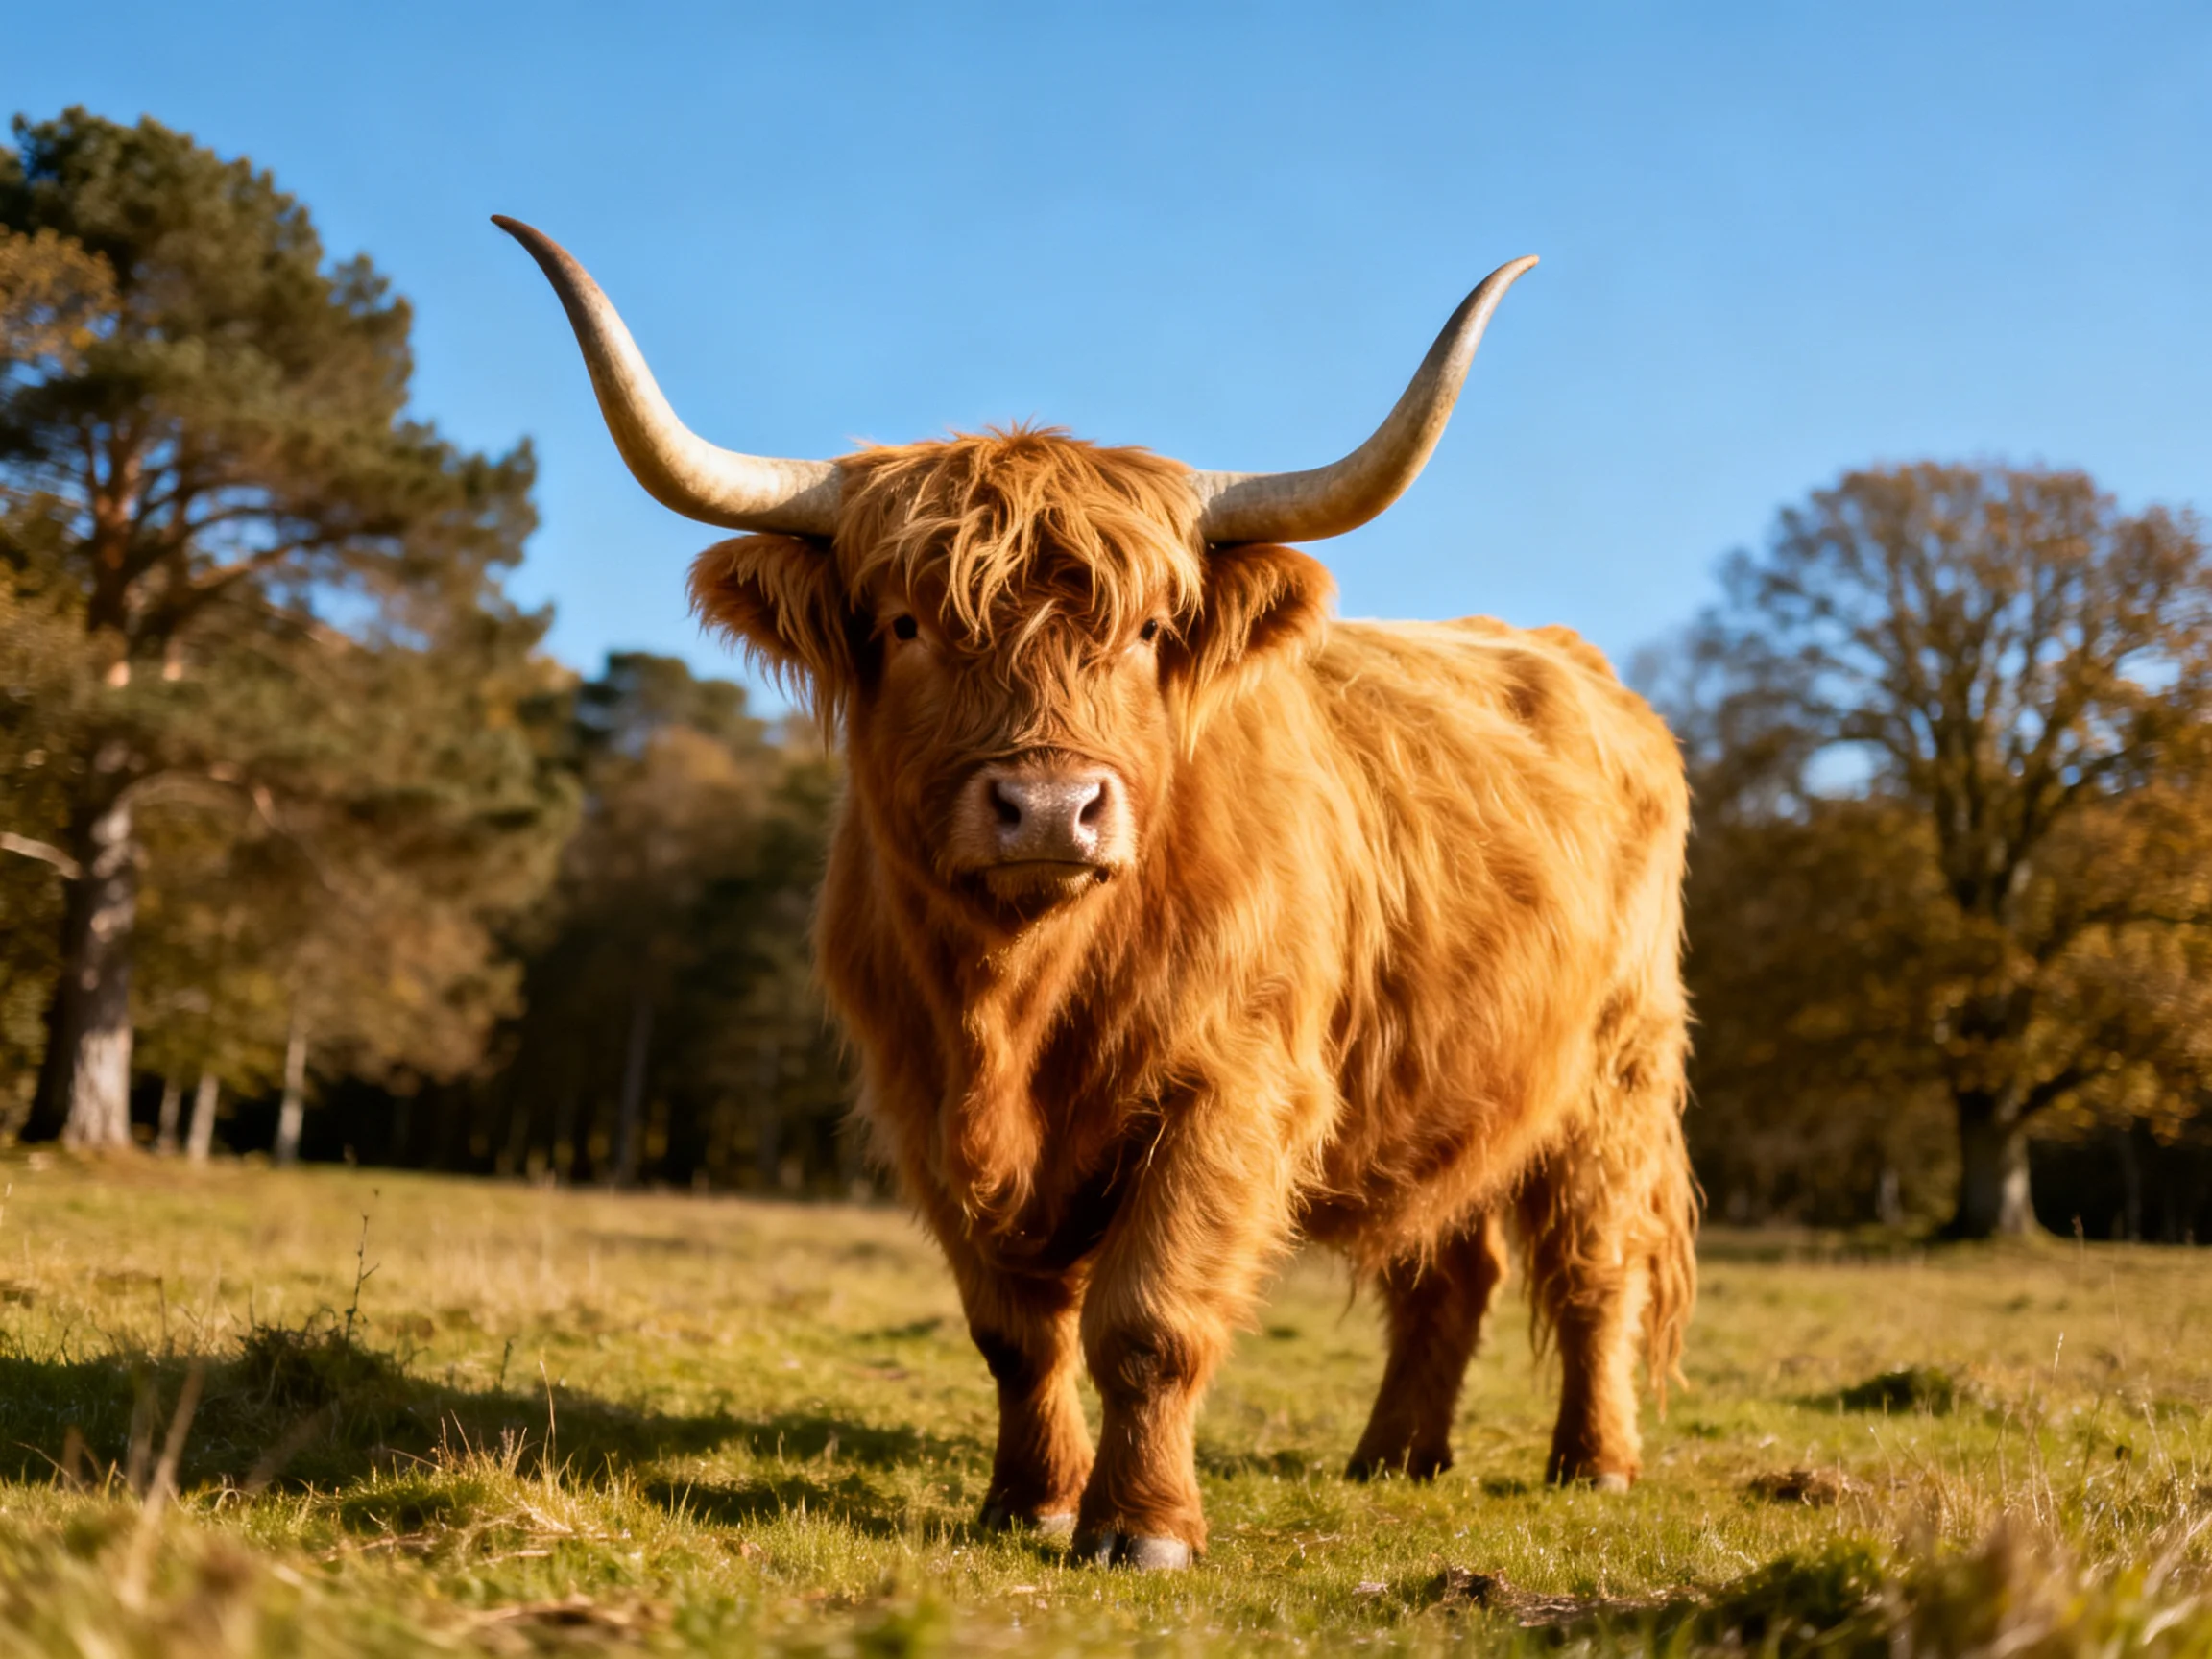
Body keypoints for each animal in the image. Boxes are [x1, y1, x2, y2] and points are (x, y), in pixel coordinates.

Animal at [498, 217, 1697, 1571]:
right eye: (906, 625)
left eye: (1144, 632)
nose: (1050, 806)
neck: (1019, 998)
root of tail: (1571, 659)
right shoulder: (920, 1102)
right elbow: (1014, 1334)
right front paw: (1030, 1500)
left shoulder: (1231, 1087)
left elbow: (1150, 1319)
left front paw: (1142, 1527)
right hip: (1444, 1081)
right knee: (1449, 1266)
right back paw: (1394, 1458)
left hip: (1617, 1070)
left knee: (1598, 1265)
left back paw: (1594, 1463)